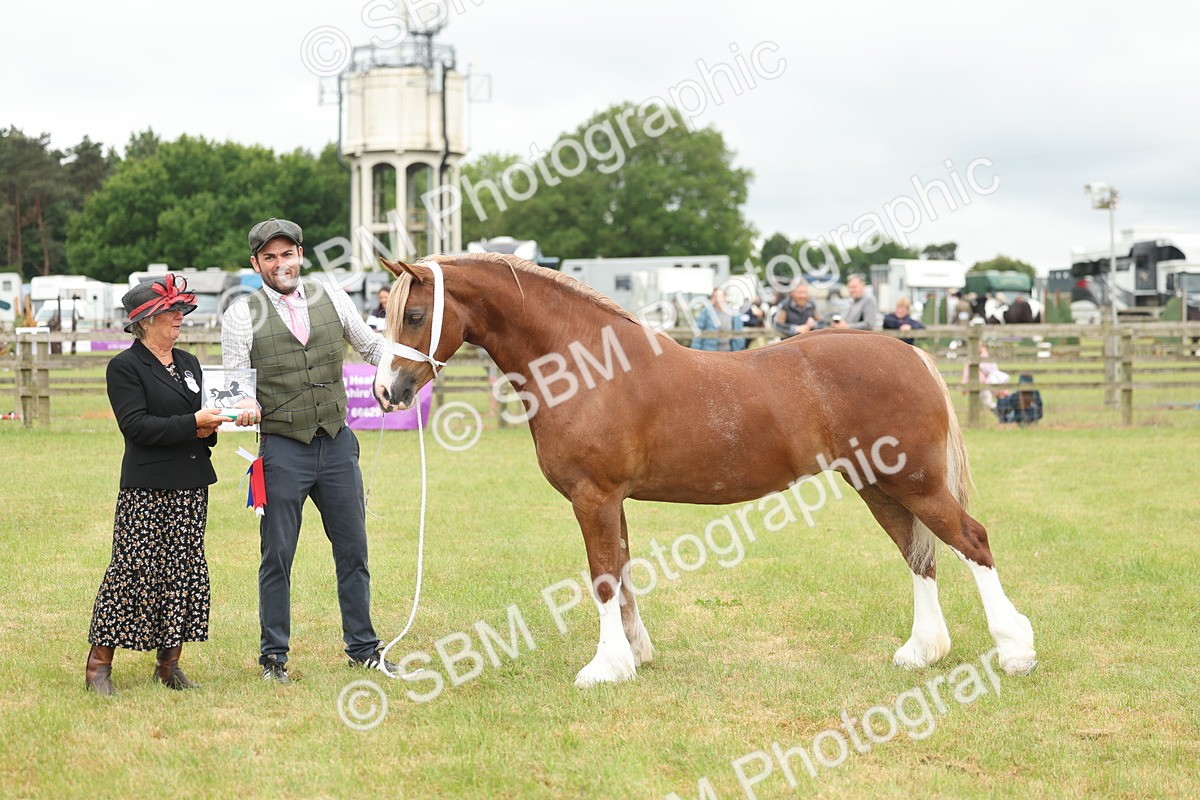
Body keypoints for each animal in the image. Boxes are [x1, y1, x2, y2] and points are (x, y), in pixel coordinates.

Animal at [372, 254, 1037, 687]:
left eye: (415, 315)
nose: (385, 391)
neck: (585, 365)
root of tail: (910, 354)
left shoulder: (593, 497)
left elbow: (603, 577)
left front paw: (605, 667)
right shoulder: (612, 502)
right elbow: (623, 572)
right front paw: (635, 655)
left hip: (915, 484)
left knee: (971, 541)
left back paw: (1014, 651)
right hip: (879, 487)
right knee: (919, 555)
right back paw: (923, 652)